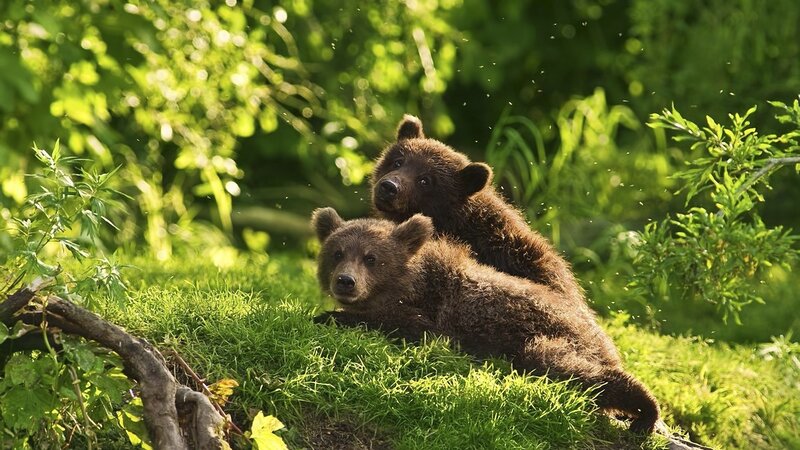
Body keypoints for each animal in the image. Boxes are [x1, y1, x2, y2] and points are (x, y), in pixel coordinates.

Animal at [311, 207, 661, 434]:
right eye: (337, 252)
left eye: (371, 258)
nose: (345, 282)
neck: (411, 282)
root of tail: (604, 339)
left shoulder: (433, 315)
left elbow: (404, 325)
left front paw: (328, 316)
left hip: (552, 336)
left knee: (568, 367)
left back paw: (644, 411)